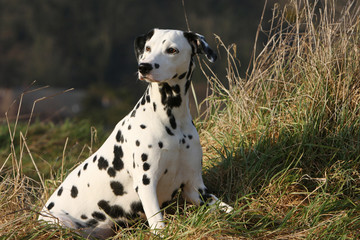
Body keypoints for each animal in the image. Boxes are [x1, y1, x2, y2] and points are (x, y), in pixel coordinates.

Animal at [38, 28, 232, 238]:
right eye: (148, 48)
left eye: (172, 50)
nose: (144, 66)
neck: (171, 122)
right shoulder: (147, 184)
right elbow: (158, 225)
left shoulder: (195, 187)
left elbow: (228, 209)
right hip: (64, 224)